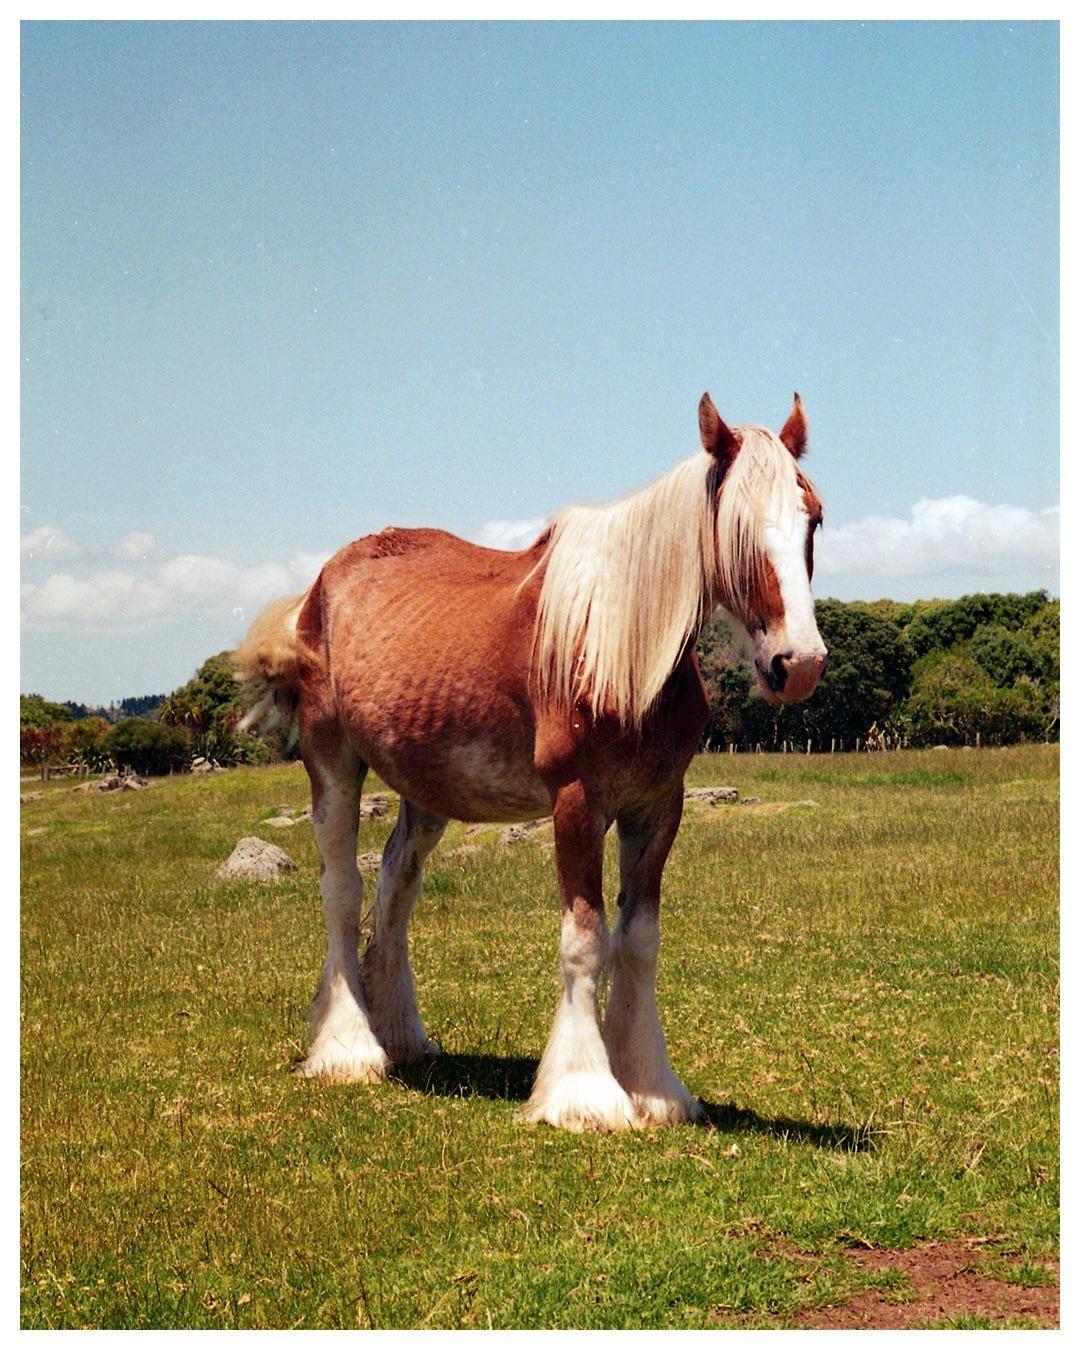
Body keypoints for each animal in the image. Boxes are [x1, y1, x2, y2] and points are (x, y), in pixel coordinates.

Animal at [235, 392, 827, 1131]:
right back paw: (350, 1048)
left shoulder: (657, 806)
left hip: (426, 791)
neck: (617, 646)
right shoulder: (578, 803)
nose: (798, 665)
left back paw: (400, 1034)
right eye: (738, 528)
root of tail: (320, 586)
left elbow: (639, 940)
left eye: (814, 518)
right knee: (342, 890)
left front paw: (653, 1086)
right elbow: (585, 938)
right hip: (333, 766)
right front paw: (584, 1093)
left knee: (396, 885)